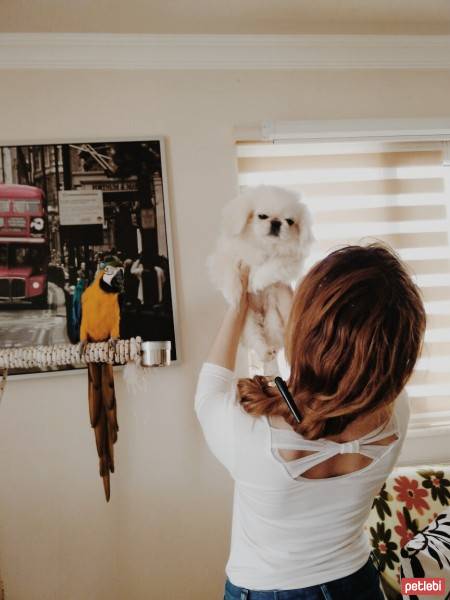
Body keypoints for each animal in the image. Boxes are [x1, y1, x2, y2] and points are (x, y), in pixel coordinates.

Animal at [207, 185, 312, 364]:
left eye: (289, 221)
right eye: (262, 216)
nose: (276, 222)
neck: (264, 245)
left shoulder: (288, 261)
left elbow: (271, 266)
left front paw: (255, 282)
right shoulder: (227, 257)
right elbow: (231, 274)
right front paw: (234, 295)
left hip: (273, 317)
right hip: (248, 320)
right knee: (255, 337)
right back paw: (265, 352)